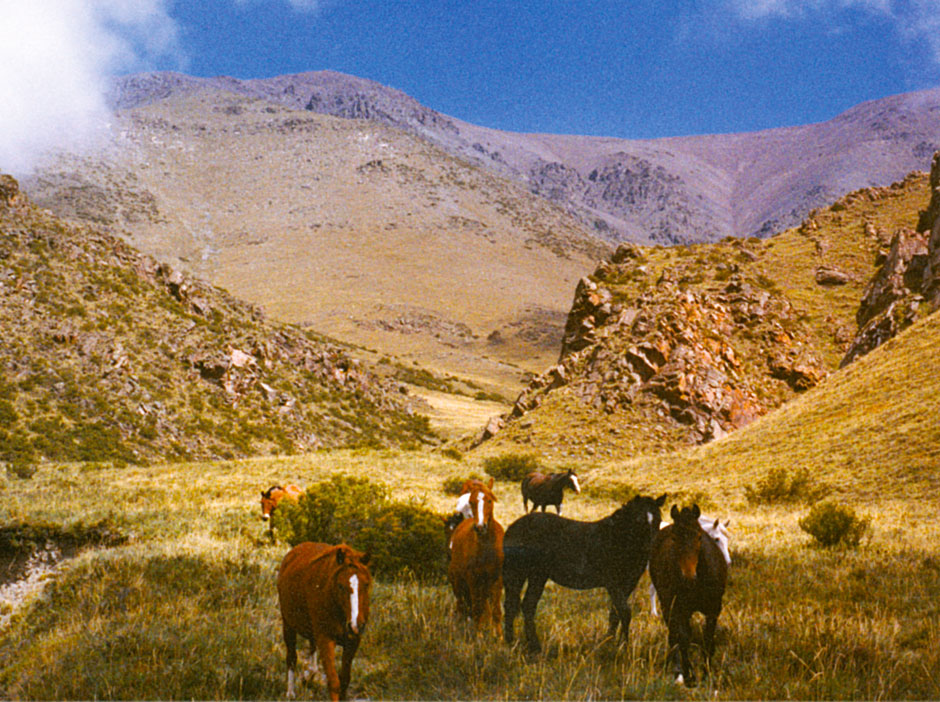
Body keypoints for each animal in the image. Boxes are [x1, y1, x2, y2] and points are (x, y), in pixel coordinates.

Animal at [276, 540, 370, 700]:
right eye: (341, 586)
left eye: (366, 584)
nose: (355, 625)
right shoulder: (326, 640)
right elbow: (334, 682)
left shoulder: (353, 641)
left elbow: (345, 680)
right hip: (288, 625)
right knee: (292, 658)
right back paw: (291, 692)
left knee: (312, 649)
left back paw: (310, 674)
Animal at [446, 482, 504, 636]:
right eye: (472, 502)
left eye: (489, 500)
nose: (480, 527)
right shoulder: (473, 580)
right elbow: (477, 610)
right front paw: (478, 636)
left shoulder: (497, 580)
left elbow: (496, 611)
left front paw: (499, 638)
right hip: (458, 582)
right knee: (462, 606)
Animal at [504, 496, 664, 656]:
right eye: (638, 520)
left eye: (659, 520)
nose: (651, 549)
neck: (614, 539)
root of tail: (512, 527)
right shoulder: (613, 583)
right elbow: (625, 612)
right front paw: (623, 646)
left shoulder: (628, 584)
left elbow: (615, 613)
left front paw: (609, 641)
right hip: (519, 575)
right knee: (513, 606)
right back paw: (517, 644)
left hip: (536, 576)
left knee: (526, 605)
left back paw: (527, 645)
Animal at [648, 506, 732, 688]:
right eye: (674, 538)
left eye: (699, 537)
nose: (687, 576)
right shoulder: (678, 609)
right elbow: (683, 639)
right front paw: (689, 675)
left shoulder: (714, 610)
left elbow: (707, 640)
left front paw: (707, 674)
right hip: (669, 607)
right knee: (674, 637)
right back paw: (679, 673)